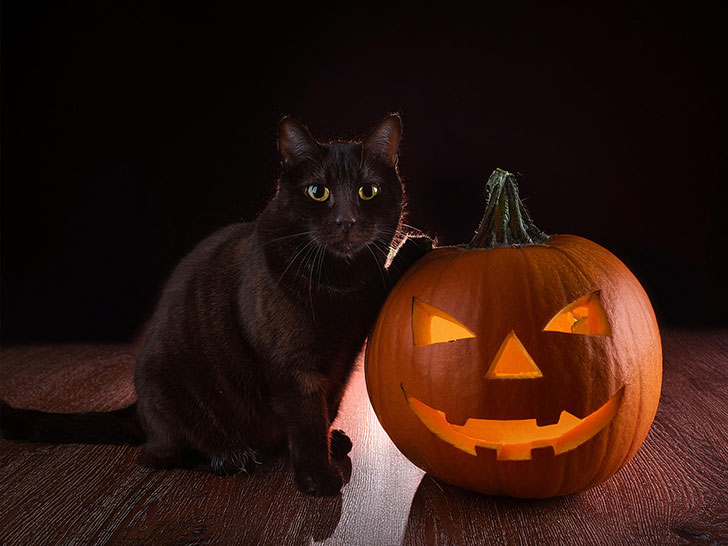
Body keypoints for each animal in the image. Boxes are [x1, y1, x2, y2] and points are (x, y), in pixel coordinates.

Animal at [0, 116, 432, 498]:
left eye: (367, 192)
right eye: (318, 192)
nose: (346, 221)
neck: (342, 284)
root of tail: (138, 410)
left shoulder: (355, 327)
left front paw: (417, 246)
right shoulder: (293, 367)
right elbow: (306, 420)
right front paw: (317, 478)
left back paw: (332, 439)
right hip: (169, 394)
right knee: (162, 456)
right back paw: (230, 457)